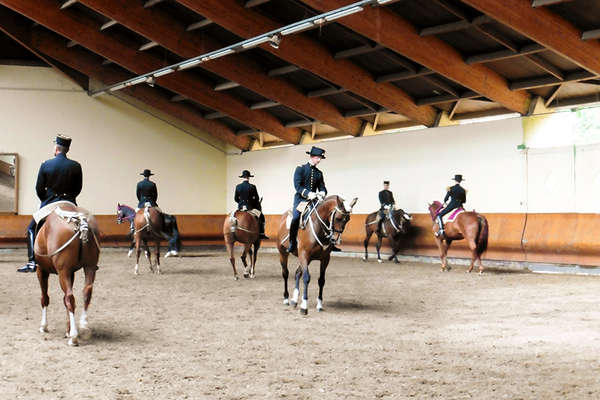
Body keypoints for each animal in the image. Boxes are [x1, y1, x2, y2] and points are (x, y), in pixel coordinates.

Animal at [34, 205, 101, 346]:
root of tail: (80, 221)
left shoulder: (41, 270)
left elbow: (45, 298)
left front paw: (44, 326)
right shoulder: (71, 272)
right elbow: (64, 299)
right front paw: (67, 330)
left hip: (62, 271)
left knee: (70, 298)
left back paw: (74, 337)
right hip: (90, 267)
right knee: (87, 292)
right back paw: (83, 325)